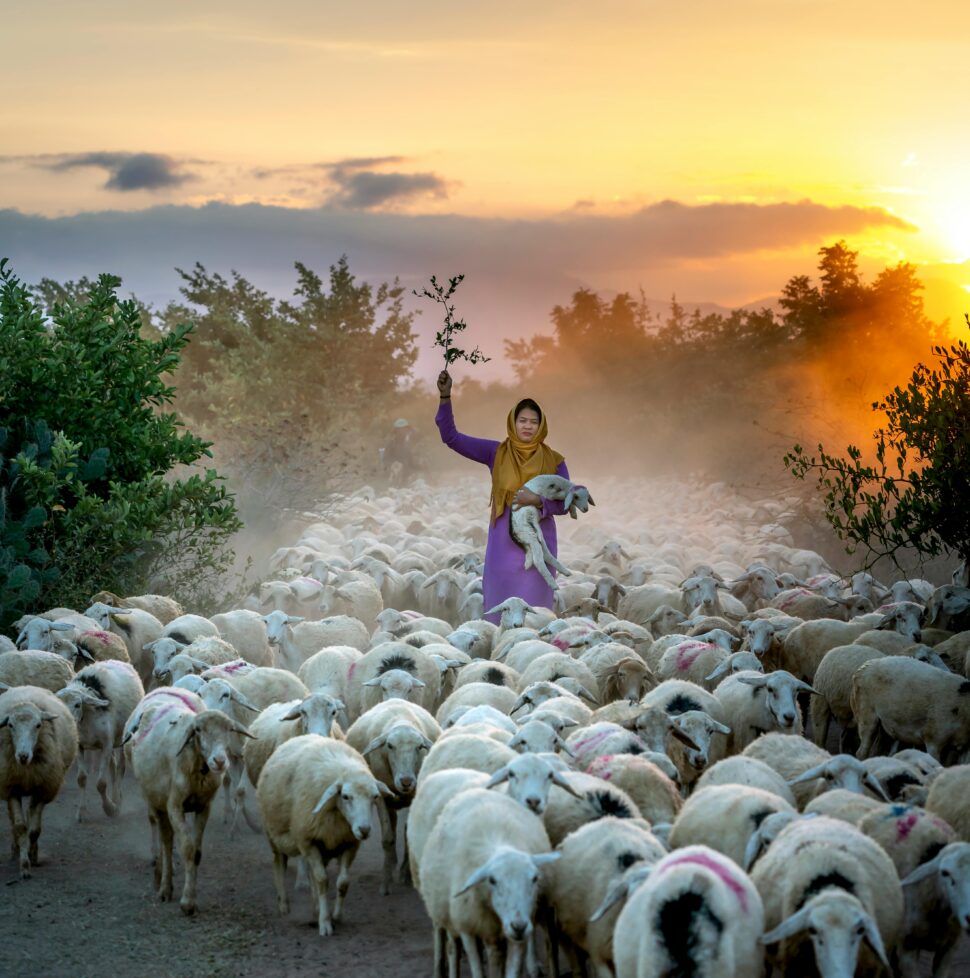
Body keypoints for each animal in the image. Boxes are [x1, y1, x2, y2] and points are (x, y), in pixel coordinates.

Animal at [0, 684, 78, 872]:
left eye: (38, 725)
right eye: (10, 725)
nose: (22, 756)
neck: (26, 768)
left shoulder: (43, 789)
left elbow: (34, 830)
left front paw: (32, 856)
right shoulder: (11, 788)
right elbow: (20, 827)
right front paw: (24, 864)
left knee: (30, 814)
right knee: (12, 819)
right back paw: (15, 849)